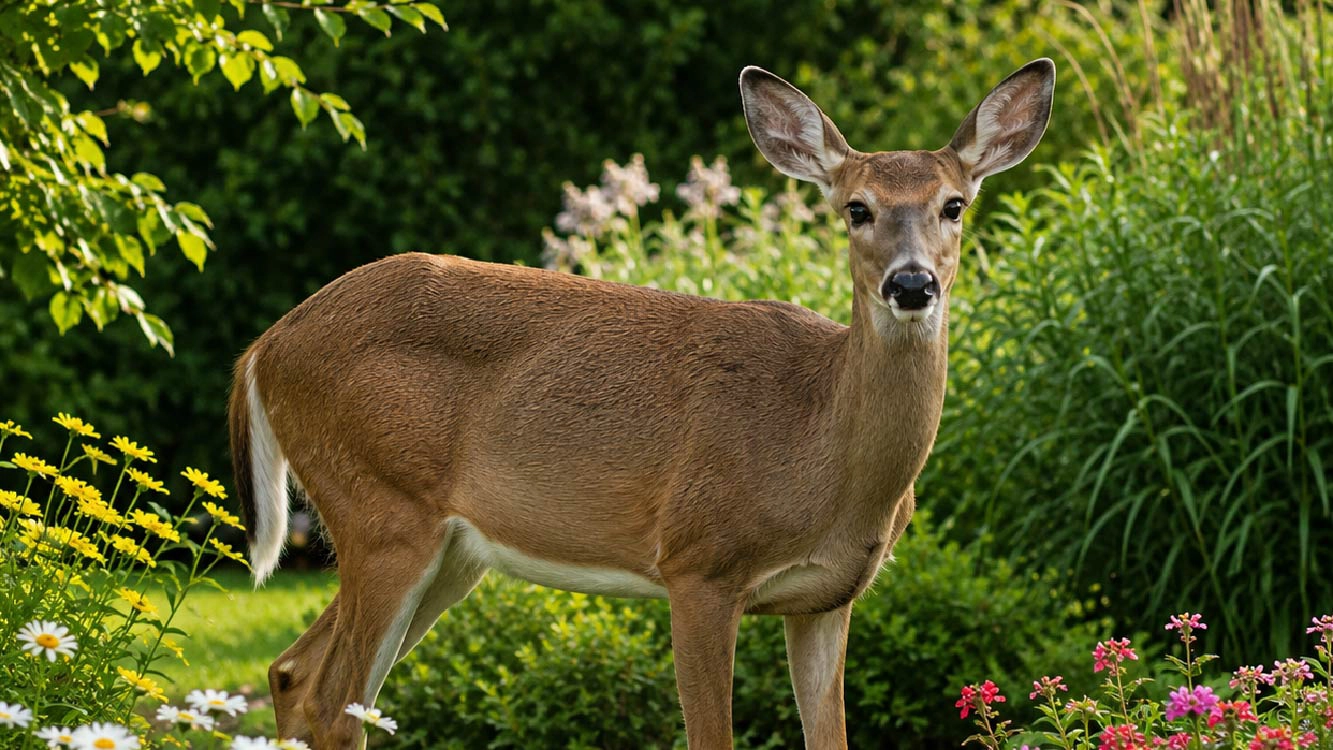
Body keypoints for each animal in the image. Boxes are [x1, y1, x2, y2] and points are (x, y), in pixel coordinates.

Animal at [228, 58, 1054, 749]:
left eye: (953, 204)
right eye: (855, 208)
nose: (911, 284)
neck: (818, 445)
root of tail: (265, 345)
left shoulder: (827, 598)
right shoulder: (699, 562)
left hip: (449, 549)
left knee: (295, 676)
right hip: (379, 506)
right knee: (335, 701)